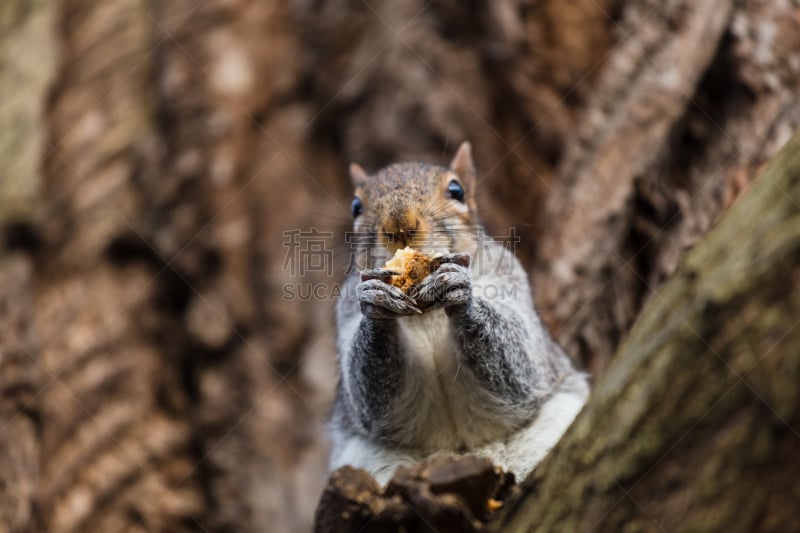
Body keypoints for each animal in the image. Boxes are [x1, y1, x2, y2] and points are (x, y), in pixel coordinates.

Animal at [328, 143, 592, 484]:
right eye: (356, 207)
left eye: (457, 191)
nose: (399, 225)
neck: (427, 312)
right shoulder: (345, 309)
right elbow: (368, 401)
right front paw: (376, 302)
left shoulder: (512, 282)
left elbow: (521, 368)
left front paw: (459, 289)